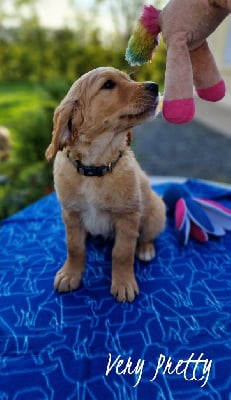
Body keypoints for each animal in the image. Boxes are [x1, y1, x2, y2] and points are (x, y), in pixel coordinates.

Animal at [45, 66, 164, 304]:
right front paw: (70, 274)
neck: (96, 167)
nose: (155, 86)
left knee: (147, 235)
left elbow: (122, 253)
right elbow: (74, 247)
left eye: (129, 78)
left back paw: (145, 249)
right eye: (108, 84)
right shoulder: (71, 214)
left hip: (155, 213)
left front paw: (124, 283)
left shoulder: (128, 217)